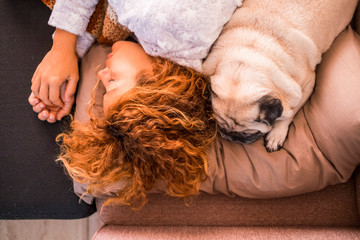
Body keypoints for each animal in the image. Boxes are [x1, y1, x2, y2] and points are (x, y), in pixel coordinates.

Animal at [202, 0, 358, 152]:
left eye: (249, 133)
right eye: (220, 125)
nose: (228, 136)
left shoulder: (307, 86)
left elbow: (288, 115)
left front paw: (276, 135)